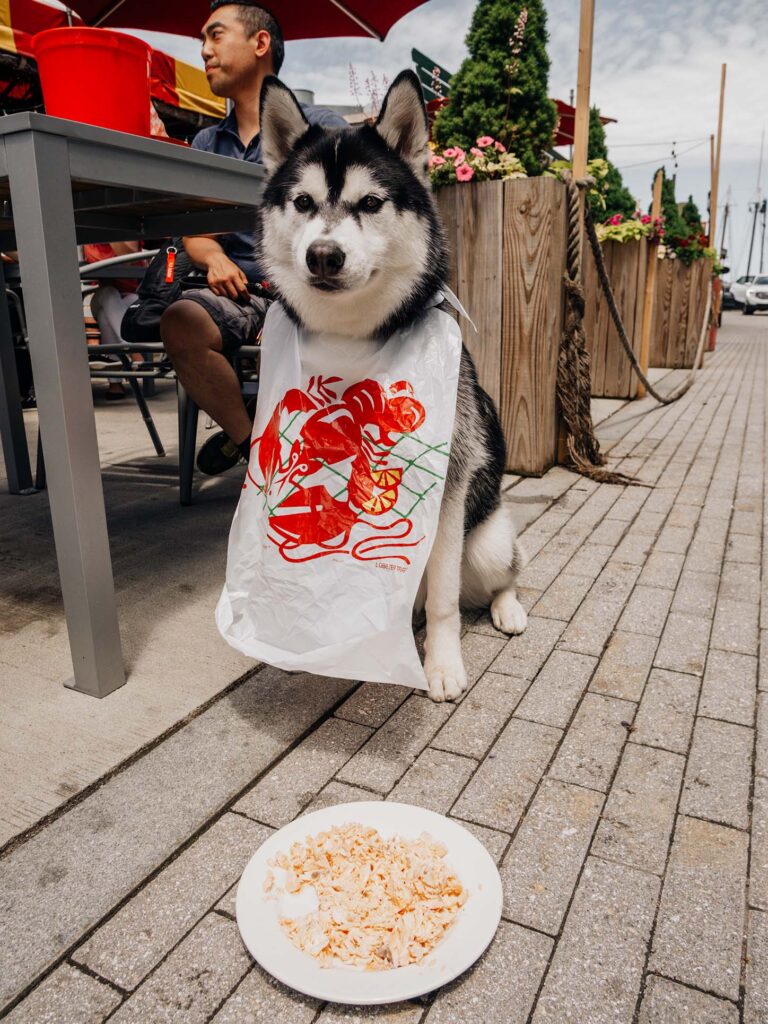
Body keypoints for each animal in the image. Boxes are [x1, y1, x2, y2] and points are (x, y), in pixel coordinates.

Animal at [259, 68, 528, 700]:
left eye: (370, 203)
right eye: (303, 203)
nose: (323, 255)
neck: (354, 339)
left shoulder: (450, 486)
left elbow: (445, 601)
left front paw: (443, 665)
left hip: (488, 541)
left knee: (499, 575)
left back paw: (507, 608)